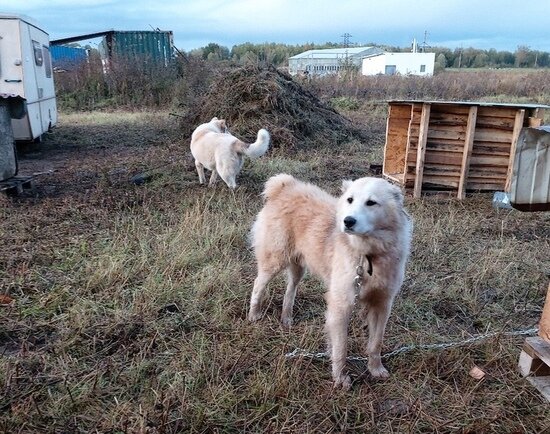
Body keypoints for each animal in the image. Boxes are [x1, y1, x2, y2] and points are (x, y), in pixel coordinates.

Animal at [250, 175, 414, 388]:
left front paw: (375, 369)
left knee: (290, 289)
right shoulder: (341, 306)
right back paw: (254, 314)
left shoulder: (382, 304)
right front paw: (340, 378)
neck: (367, 255)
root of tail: (285, 186)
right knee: (258, 285)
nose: (348, 221)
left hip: (298, 267)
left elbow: (375, 343)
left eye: (371, 202)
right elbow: (341, 348)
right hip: (274, 262)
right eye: (350, 200)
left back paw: (286, 317)